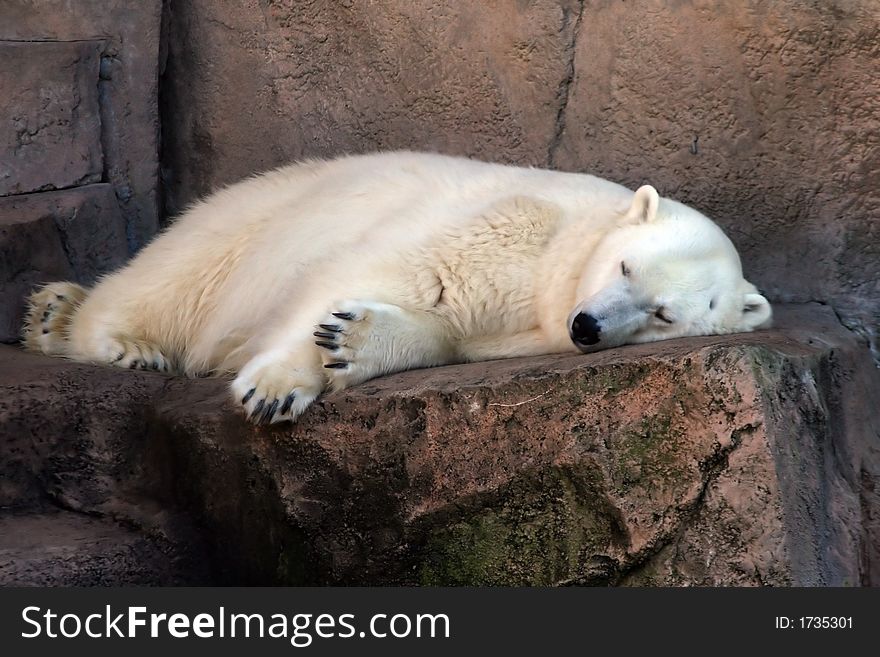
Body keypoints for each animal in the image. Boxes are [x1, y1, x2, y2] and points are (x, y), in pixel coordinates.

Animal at [22, 151, 768, 422]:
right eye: (625, 267)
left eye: (663, 314)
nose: (587, 327)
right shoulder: (518, 220)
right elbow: (401, 270)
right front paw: (276, 387)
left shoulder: (522, 327)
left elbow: (443, 328)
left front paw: (352, 340)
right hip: (249, 221)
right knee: (176, 277)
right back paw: (102, 333)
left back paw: (51, 314)